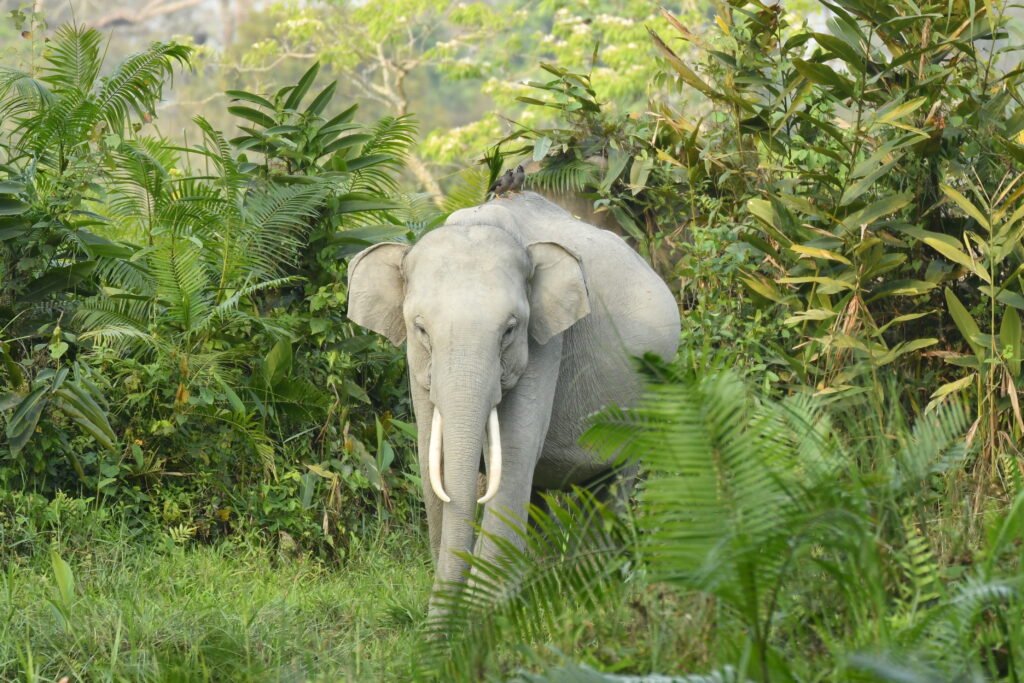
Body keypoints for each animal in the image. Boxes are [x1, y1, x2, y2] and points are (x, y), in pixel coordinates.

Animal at [346, 191, 679, 610]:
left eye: (509, 330)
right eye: (420, 328)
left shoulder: (544, 343)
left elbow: (516, 450)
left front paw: (480, 612)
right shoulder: (416, 365)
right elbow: (429, 456)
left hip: (645, 398)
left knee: (611, 484)